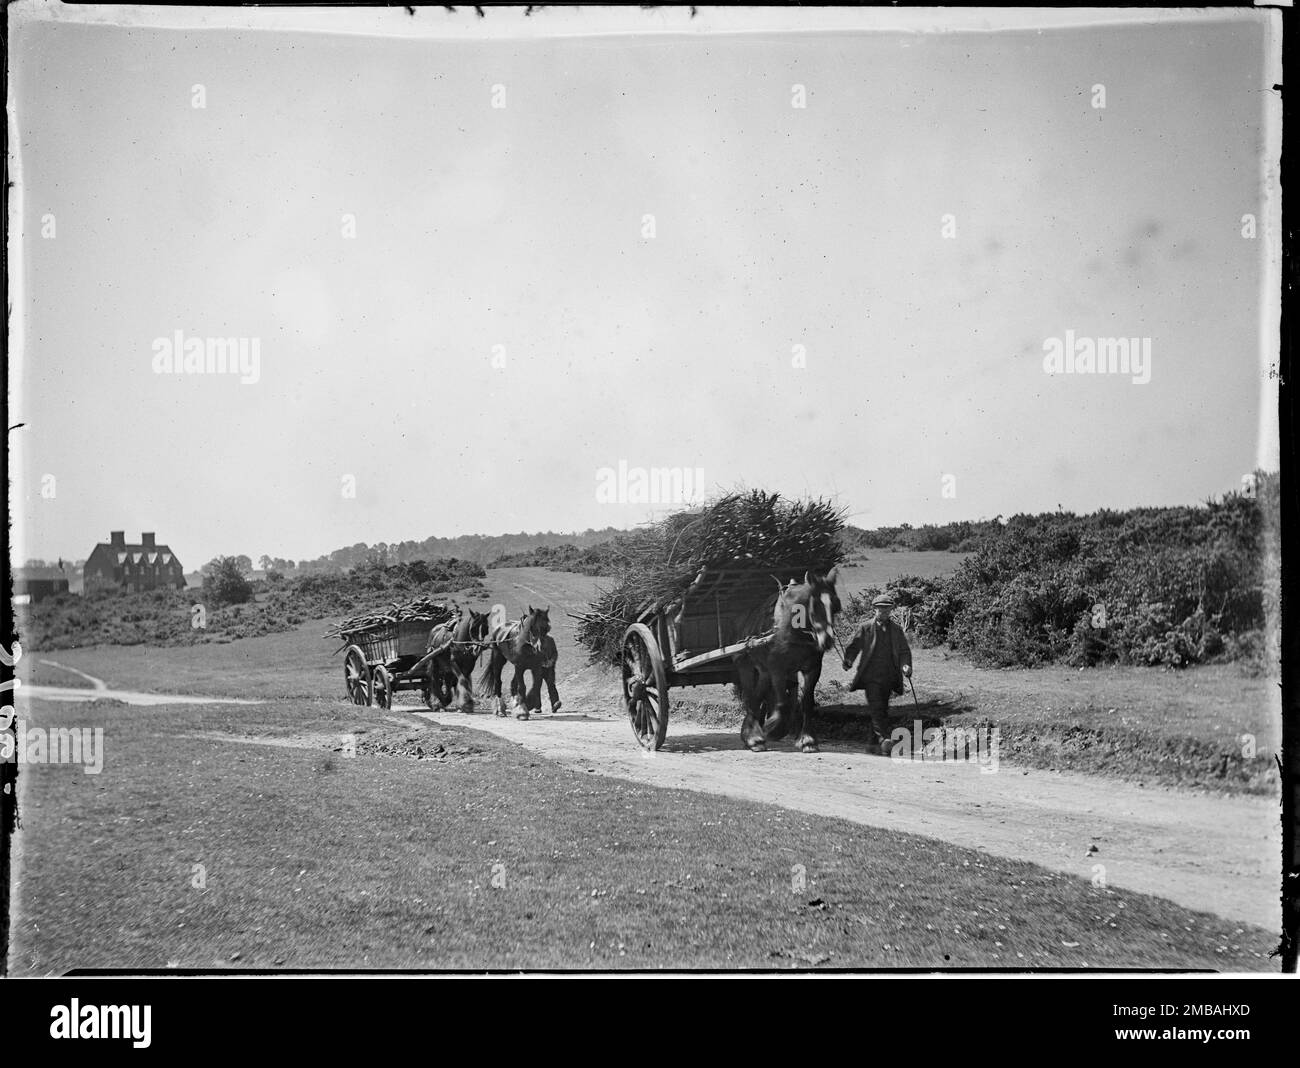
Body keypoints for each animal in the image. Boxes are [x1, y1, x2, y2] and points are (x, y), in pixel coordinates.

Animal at [733, 569, 842, 753]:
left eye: (835, 606)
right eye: (815, 605)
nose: (827, 640)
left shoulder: (813, 668)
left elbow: (807, 702)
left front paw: (808, 740)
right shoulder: (777, 667)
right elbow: (783, 703)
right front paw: (773, 729)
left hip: (764, 671)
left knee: (757, 698)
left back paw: (750, 735)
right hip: (746, 666)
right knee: (750, 698)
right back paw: (753, 737)